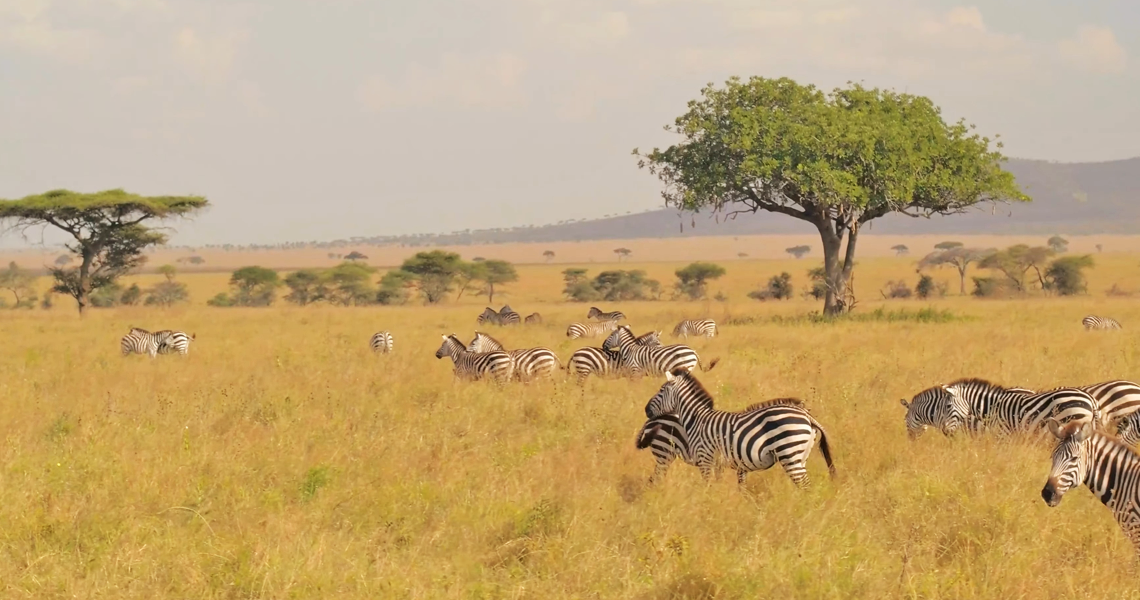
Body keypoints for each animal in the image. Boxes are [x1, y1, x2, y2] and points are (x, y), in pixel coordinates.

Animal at [642, 371, 839, 488]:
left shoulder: (705, 459)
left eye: (661, 390)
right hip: (800, 456)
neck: (697, 419)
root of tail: (808, 417)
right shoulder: (718, 463)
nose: (646, 410)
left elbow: (709, 487)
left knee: (804, 485)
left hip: (789, 453)